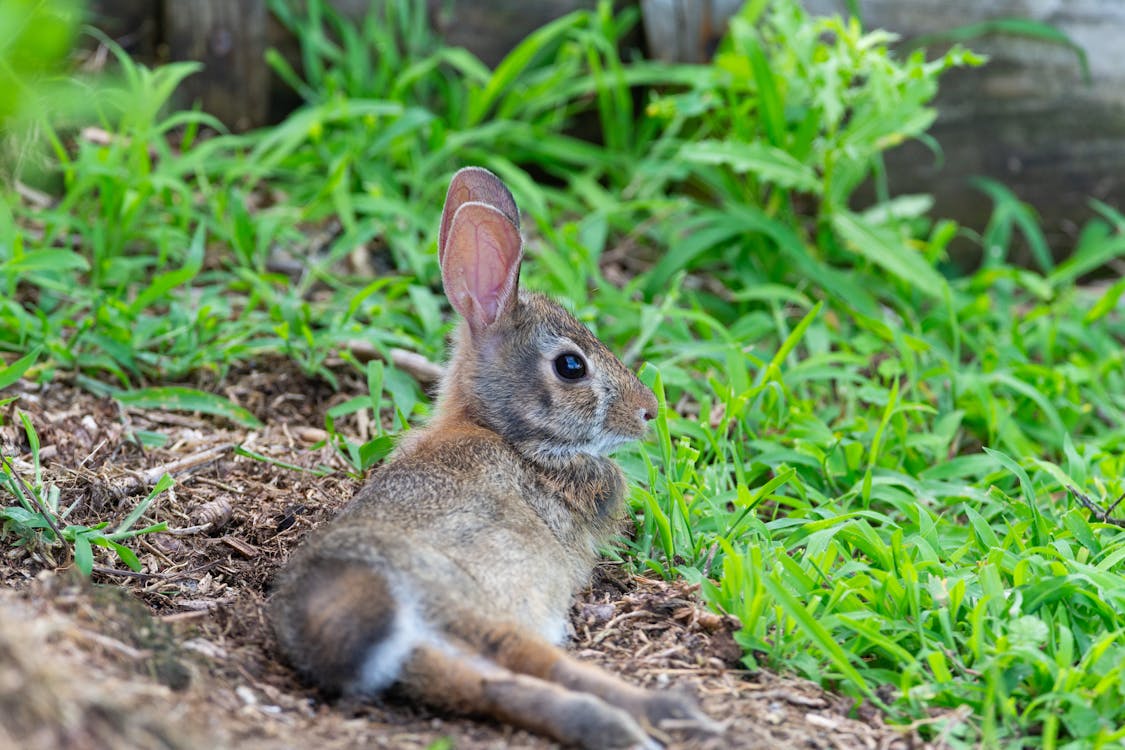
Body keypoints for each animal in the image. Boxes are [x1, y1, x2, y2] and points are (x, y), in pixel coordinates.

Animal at [269, 167, 719, 749]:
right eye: (571, 366)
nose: (649, 411)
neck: (505, 434)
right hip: (468, 599)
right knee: (536, 664)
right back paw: (665, 717)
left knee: (492, 686)